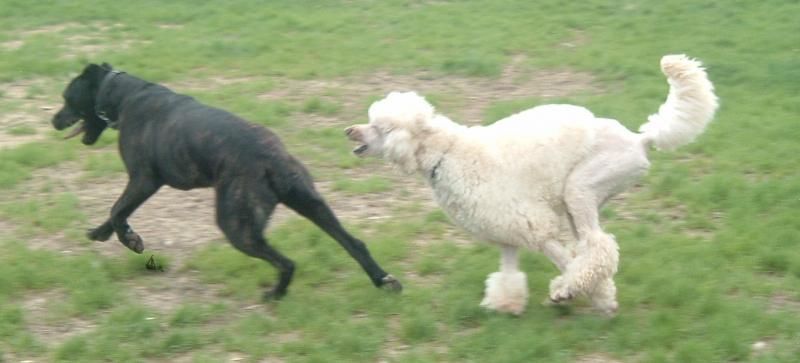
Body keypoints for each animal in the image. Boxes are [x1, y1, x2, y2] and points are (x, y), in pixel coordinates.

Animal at [51, 64, 400, 300]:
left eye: (67, 97)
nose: (53, 120)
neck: (124, 95)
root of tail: (272, 159)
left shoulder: (143, 180)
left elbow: (118, 210)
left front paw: (130, 240)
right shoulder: (142, 183)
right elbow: (116, 212)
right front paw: (100, 233)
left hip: (236, 225)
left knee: (286, 262)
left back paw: (276, 294)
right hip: (311, 204)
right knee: (353, 243)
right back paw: (382, 280)